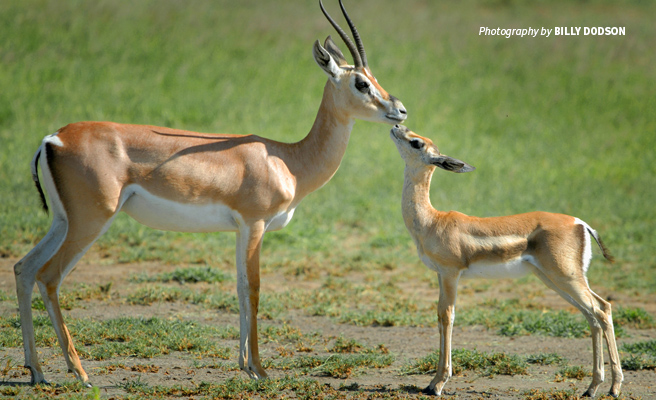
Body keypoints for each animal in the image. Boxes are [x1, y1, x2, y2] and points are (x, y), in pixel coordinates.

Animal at [14, 0, 407, 386]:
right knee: (49, 276)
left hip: (63, 221)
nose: (400, 110)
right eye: (360, 83)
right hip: (91, 221)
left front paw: (245, 366)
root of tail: (53, 138)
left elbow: (240, 288)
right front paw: (260, 369)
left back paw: (37, 371)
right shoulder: (255, 224)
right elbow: (254, 289)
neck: (288, 161)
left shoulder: (240, 230)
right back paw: (79, 372)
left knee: (24, 268)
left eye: (375, 78)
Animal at [389, 125, 622, 397]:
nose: (397, 126)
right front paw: (432, 382)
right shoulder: (439, 274)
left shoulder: (450, 273)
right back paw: (592, 387)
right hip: (555, 279)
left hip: (566, 277)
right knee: (594, 314)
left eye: (416, 142)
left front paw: (437, 384)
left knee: (602, 311)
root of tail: (580, 223)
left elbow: (447, 317)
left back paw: (614, 388)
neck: (432, 221)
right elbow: (439, 316)